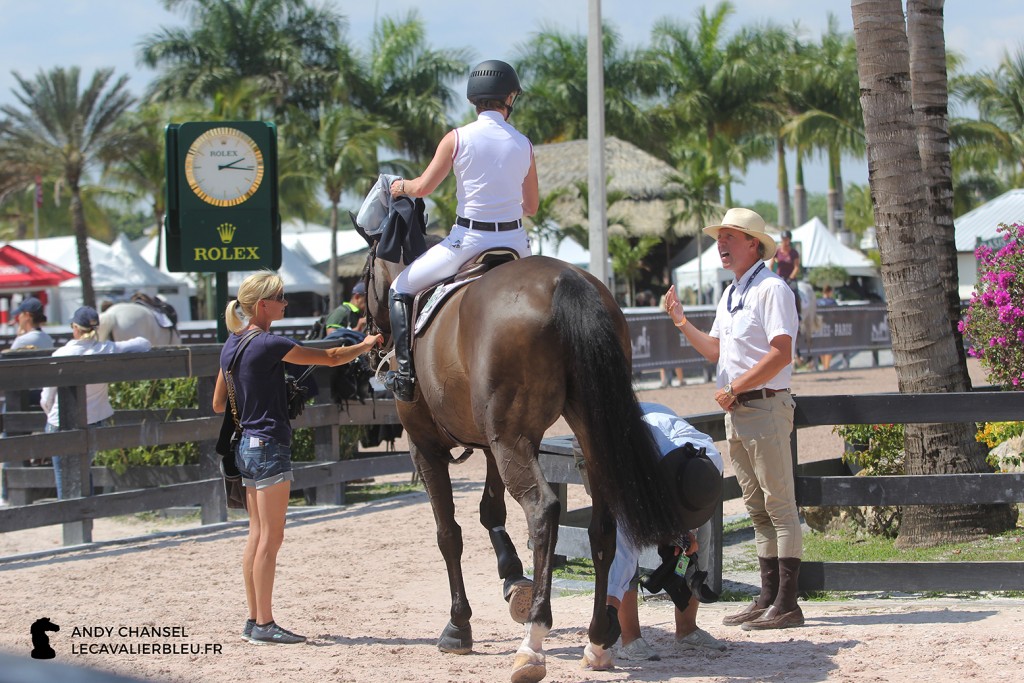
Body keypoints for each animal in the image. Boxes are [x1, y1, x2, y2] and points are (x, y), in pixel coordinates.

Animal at [358, 236, 688, 683]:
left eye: (365, 275)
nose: (369, 336)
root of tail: (565, 279)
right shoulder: (492, 444)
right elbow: (489, 511)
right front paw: (512, 576)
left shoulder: (426, 446)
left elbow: (449, 534)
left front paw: (458, 626)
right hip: (583, 438)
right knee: (601, 529)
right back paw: (597, 640)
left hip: (511, 441)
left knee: (543, 510)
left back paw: (533, 641)